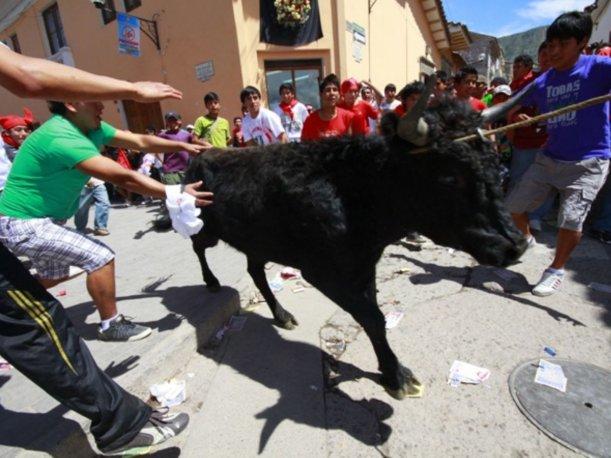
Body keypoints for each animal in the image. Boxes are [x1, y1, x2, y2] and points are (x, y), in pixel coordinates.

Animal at [182, 95, 524, 398]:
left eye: (493, 161)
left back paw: (281, 314)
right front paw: (397, 376)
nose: (517, 245)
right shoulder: (323, 272)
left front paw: (391, 370)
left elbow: (377, 318)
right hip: (206, 227)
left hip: (258, 241)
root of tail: (202, 156)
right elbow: (371, 317)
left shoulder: (363, 265)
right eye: (450, 177)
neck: (355, 191)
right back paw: (212, 281)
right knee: (198, 247)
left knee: (255, 271)